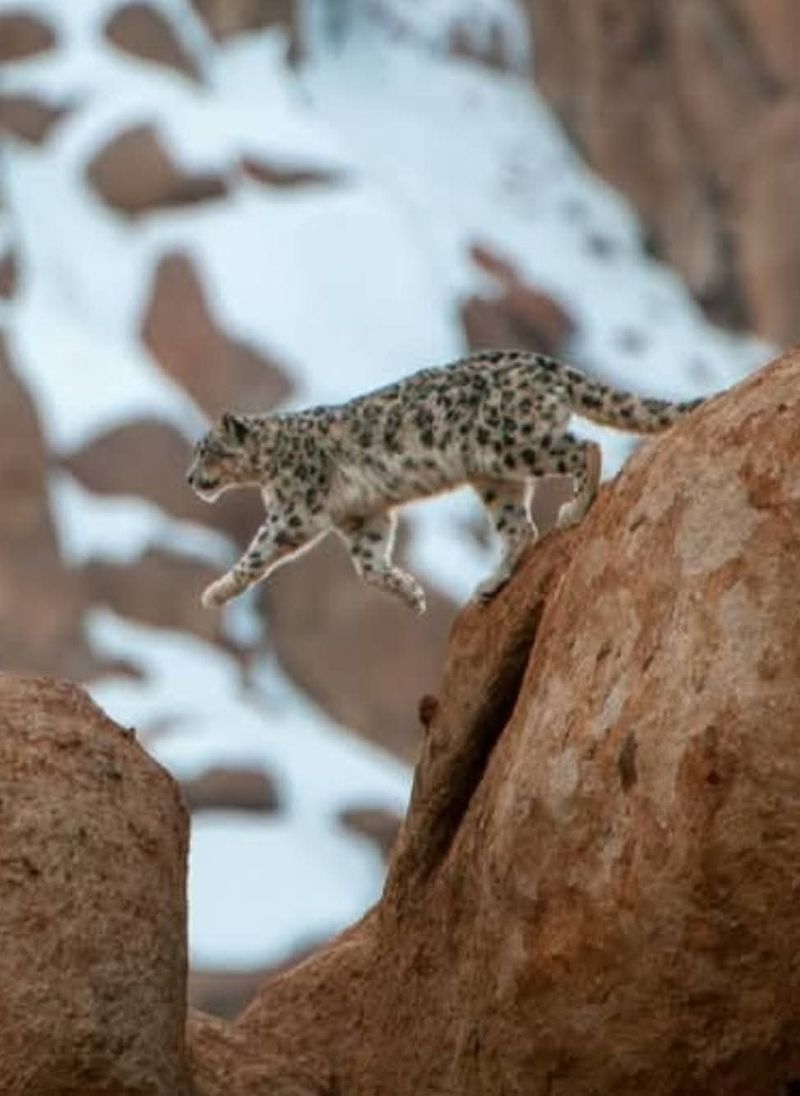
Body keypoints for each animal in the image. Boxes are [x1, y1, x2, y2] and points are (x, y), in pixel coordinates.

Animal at [186, 349, 703, 614]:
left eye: (206, 449)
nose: (189, 479)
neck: (269, 466)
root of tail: (544, 362)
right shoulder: (362, 517)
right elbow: (368, 564)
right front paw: (410, 592)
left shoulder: (294, 511)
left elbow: (257, 554)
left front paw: (215, 593)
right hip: (493, 477)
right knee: (519, 527)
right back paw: (489, 584)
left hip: (511, 444)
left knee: (585, 448)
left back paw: (574, 508)